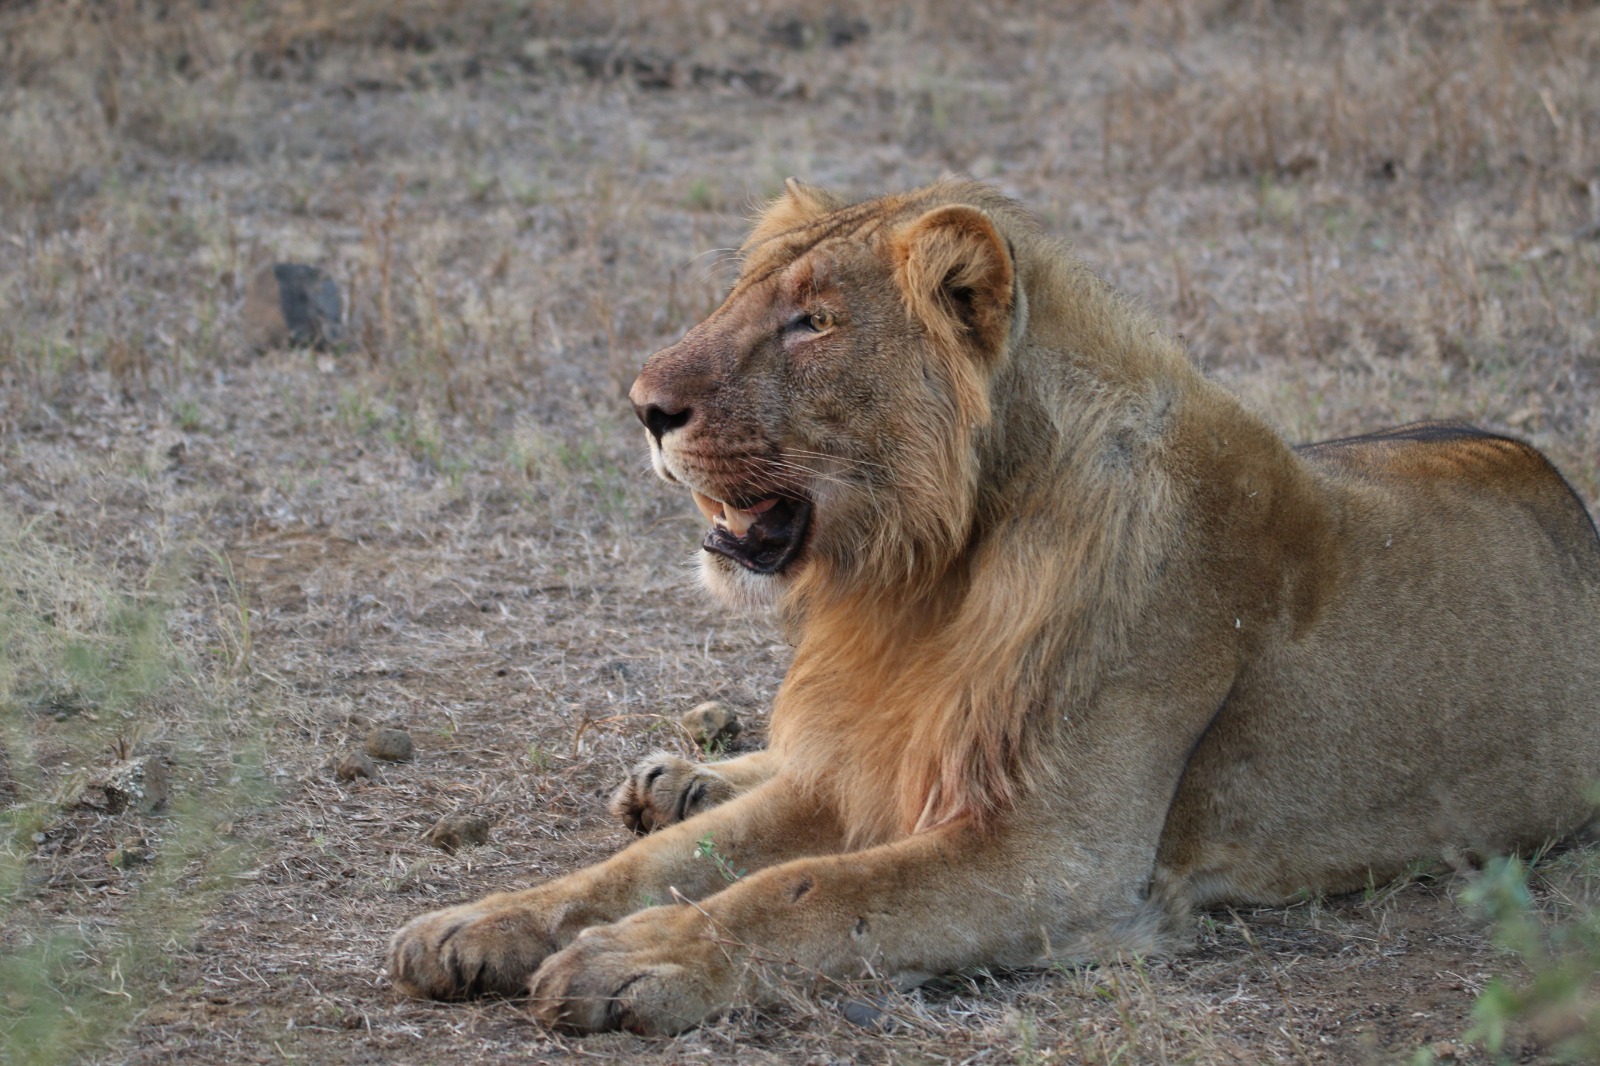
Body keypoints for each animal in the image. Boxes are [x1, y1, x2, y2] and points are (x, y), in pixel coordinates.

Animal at [388, 177, 1600, 1035]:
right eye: (739, 300)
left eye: (812, 323)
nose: (643, 406)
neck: (922, 578)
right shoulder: (882, 760)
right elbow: (657, 866)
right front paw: (479, 924)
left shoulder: (1054, 859)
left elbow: (807, 891)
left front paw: (640, 958)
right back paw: (676, 777)